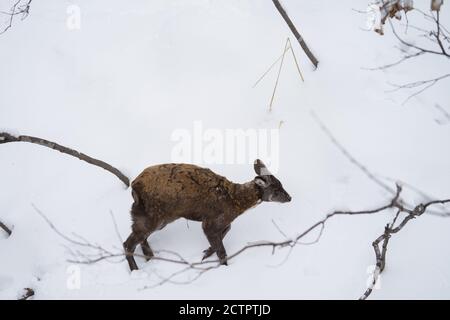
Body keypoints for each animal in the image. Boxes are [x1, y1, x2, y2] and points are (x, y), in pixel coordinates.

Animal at [123, 159, 292, 272]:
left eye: (281, 184)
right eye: (277, 189)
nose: (290, 197)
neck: (234, 202)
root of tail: (134, 186)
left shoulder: (222, 222)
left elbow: (225, 232)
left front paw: (206, 253)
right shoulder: (211, 221)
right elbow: (222, 250)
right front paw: (223, 267)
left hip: (156, 218)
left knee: (140, 238)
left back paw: (150, 258)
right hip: (153, 215)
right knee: (128, 243)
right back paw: (135, 269)